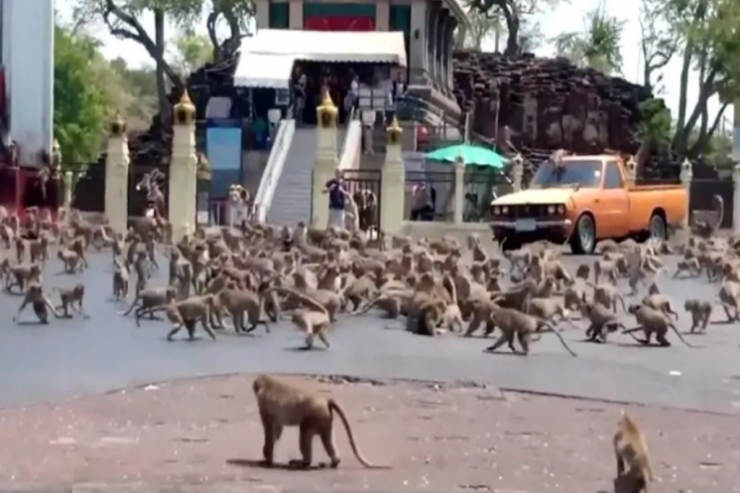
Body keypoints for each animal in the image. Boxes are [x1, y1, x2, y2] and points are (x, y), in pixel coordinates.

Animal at [251, 374, 384, 468]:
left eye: (255, 387)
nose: (254, 389)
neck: (268, 383)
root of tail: (325, 400)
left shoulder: (263, 403)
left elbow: (269, 430)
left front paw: (267, 458)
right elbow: (277, 429)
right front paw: (268, 456)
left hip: (315, 415)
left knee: (304, 431)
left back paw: (304, 462)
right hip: (325, 418)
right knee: (326, 439)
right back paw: (334, 462)